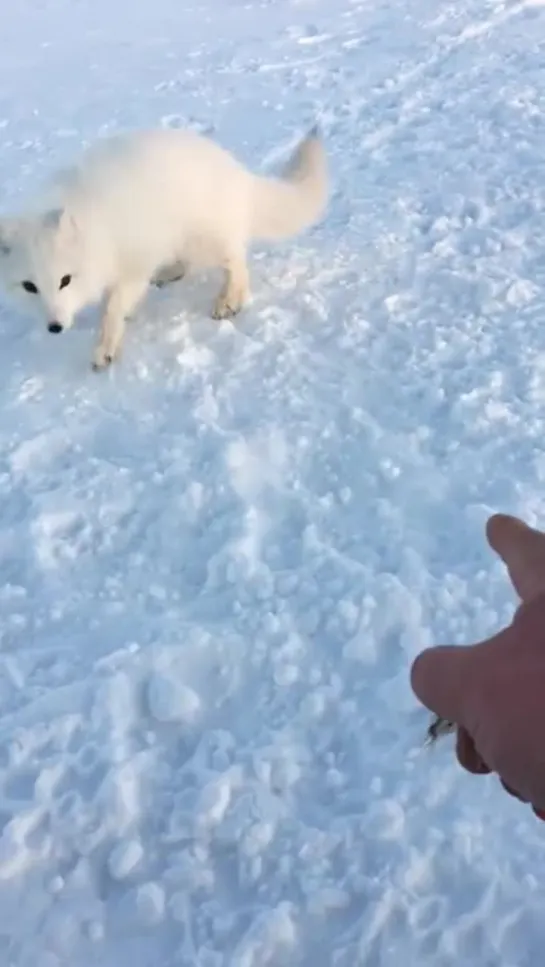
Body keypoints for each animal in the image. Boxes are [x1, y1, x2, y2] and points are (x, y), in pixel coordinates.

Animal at [0, 126, 326, 368]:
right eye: (29, 287)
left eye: (65, 280)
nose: (54, 327)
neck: (96, 230)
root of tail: (237, 173)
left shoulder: (133, 263)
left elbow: (112, 308)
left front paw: (105, 346)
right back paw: (170, 273)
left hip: (201, 240)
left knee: (236, 259)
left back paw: (230, 300)